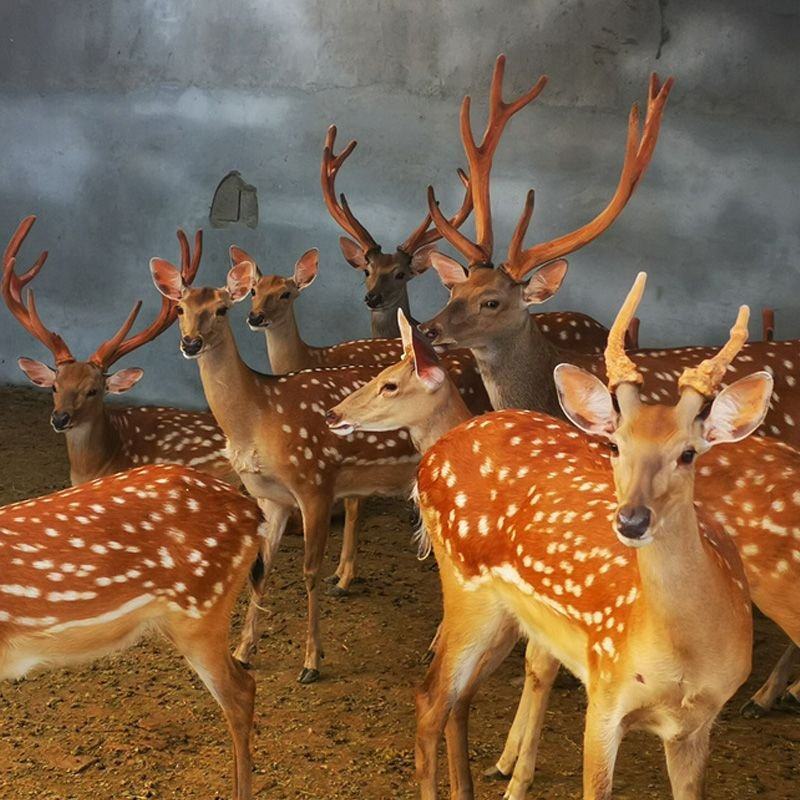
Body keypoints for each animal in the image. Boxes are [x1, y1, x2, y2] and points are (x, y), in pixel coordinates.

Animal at [148, 255, 490, 683]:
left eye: (222, 308)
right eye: (180, 308)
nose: (190, 343)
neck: (257, 417)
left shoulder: (314, 482)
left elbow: (309, 571)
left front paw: (311, 661)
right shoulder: (269, 497)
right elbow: (260, 568)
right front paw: (244, 651)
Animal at [412, 272, 769, 799]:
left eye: (688, 453)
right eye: (616, 444)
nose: (631, 521)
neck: (683, 660)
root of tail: (434, 454)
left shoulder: (699, 723)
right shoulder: (605, 689)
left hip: (508, 616)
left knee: (458, 699)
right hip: (463, 587)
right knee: (430, 698)